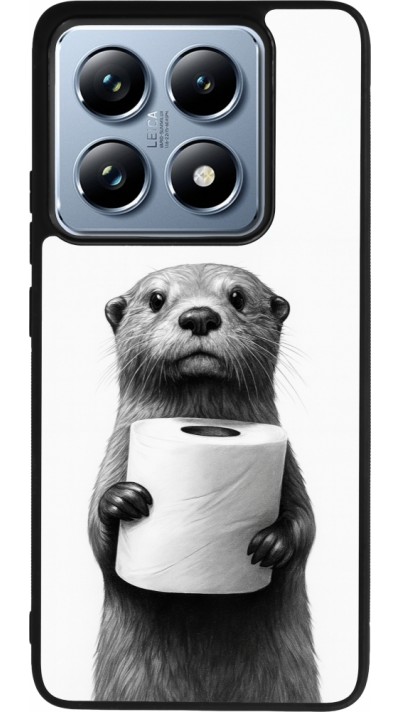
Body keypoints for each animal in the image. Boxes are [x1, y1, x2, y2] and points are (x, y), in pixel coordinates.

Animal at [88, 263, 319, 703]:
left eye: (238, 297)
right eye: (156, 299)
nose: (199, 316)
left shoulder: (290, 468)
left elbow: (307, 525)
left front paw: (273, 542)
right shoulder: (114, 458)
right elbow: (96, 538)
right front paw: (121, 501)